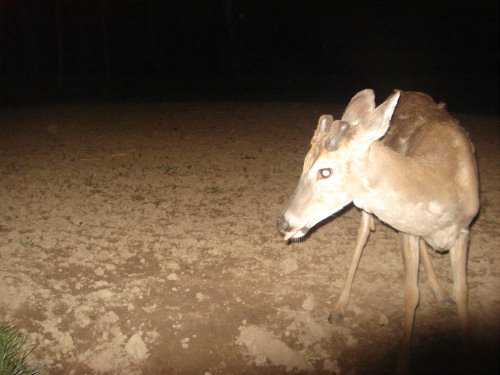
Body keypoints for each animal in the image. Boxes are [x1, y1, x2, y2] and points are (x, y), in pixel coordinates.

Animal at [278, 89, 480, 374]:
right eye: (304, 164)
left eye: (325, 171)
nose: (284, 223)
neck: (440, 184)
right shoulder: (407, 230)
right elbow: (411, 295)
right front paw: (403, 364)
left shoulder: (463, 230)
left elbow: (462, 292)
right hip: (369, 211)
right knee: (363, 236)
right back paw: (339, 307)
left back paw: (440, 295)